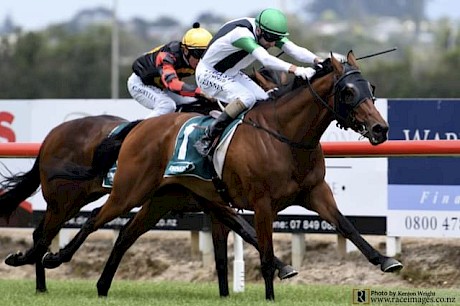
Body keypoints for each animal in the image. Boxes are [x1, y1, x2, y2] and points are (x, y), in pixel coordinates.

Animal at [0, 70, 294, 296]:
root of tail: (52, 135)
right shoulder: (209, 200)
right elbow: (247, 232)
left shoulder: (209, 202)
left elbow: (237, 239)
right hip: (65, 199)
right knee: (43, 234)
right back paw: (30, 266)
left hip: (76, 198)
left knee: (43, 233)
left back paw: (40, 283)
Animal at [38, 50, 402, 302]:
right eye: (348, 92)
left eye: (370, 87)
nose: (380, 128)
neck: (284, 135)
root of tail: (138, 128)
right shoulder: (262, 204)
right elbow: (263, 252)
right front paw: (271, 292)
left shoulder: (315, 193)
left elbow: (347, 226)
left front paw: (386, 260)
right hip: (128, 189)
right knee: (93, 219)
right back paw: (54, 258)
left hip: (160, 199)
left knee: (126, 233)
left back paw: (101, 286)